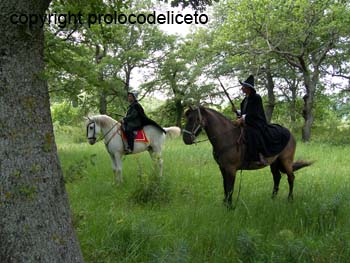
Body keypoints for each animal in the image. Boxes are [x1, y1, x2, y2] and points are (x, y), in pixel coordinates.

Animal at [183, 106, 312, 207]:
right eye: (188, 118)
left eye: (196, 119)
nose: (186, 139)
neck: (227, 137)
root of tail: (290, 133)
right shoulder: (223, 168)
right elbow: (225, 186)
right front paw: (225, 204)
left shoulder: (231, 169)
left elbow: (230, 188)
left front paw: (229, 206)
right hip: (274, 162)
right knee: (277, 177)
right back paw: (273, 198)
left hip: (286, 161)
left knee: (291, 177)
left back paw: (290, 199)